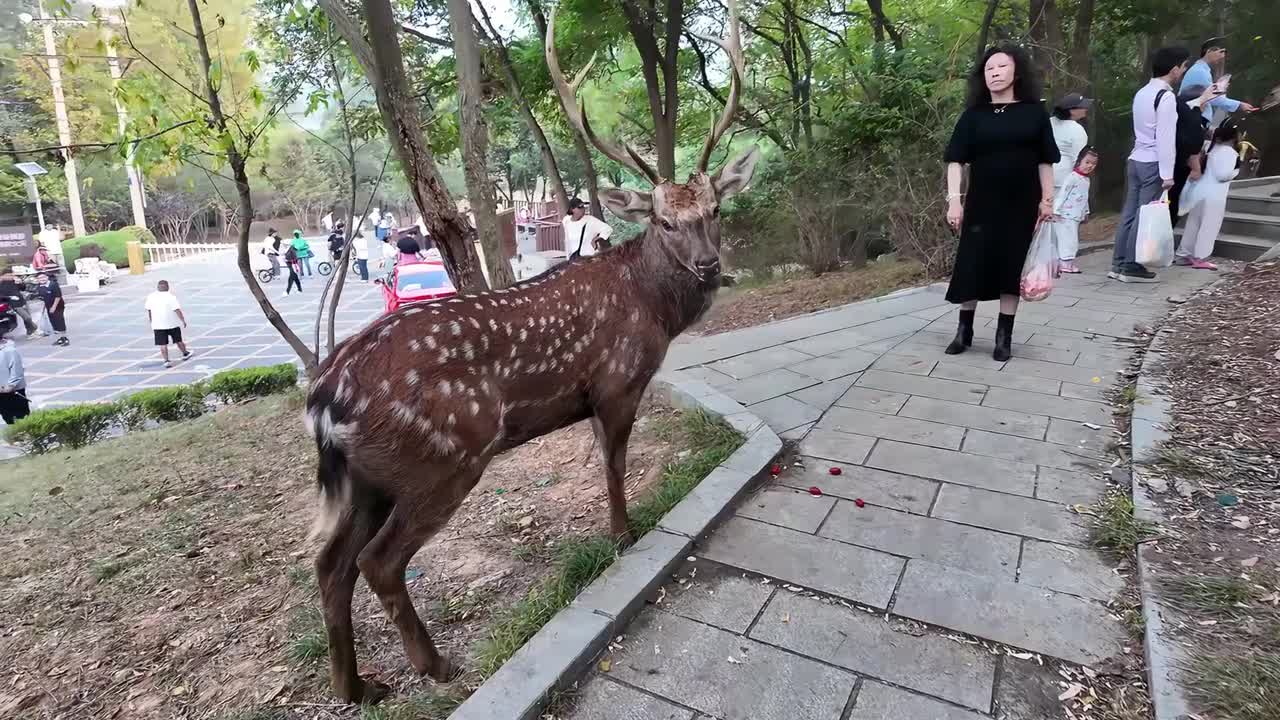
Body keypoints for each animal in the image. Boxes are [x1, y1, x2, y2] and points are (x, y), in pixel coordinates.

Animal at [303, 1, 756, 704]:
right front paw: (624, 536)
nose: (709, 266)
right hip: (445, 456)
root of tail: (325, 398)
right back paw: (437, 667)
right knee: (378, 560)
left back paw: (359, 687)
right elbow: (615, 467)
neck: (652, 309)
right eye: (663, 220)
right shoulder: (617, 382)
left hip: (364, 478)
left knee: (331, 564)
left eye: (715, 209)